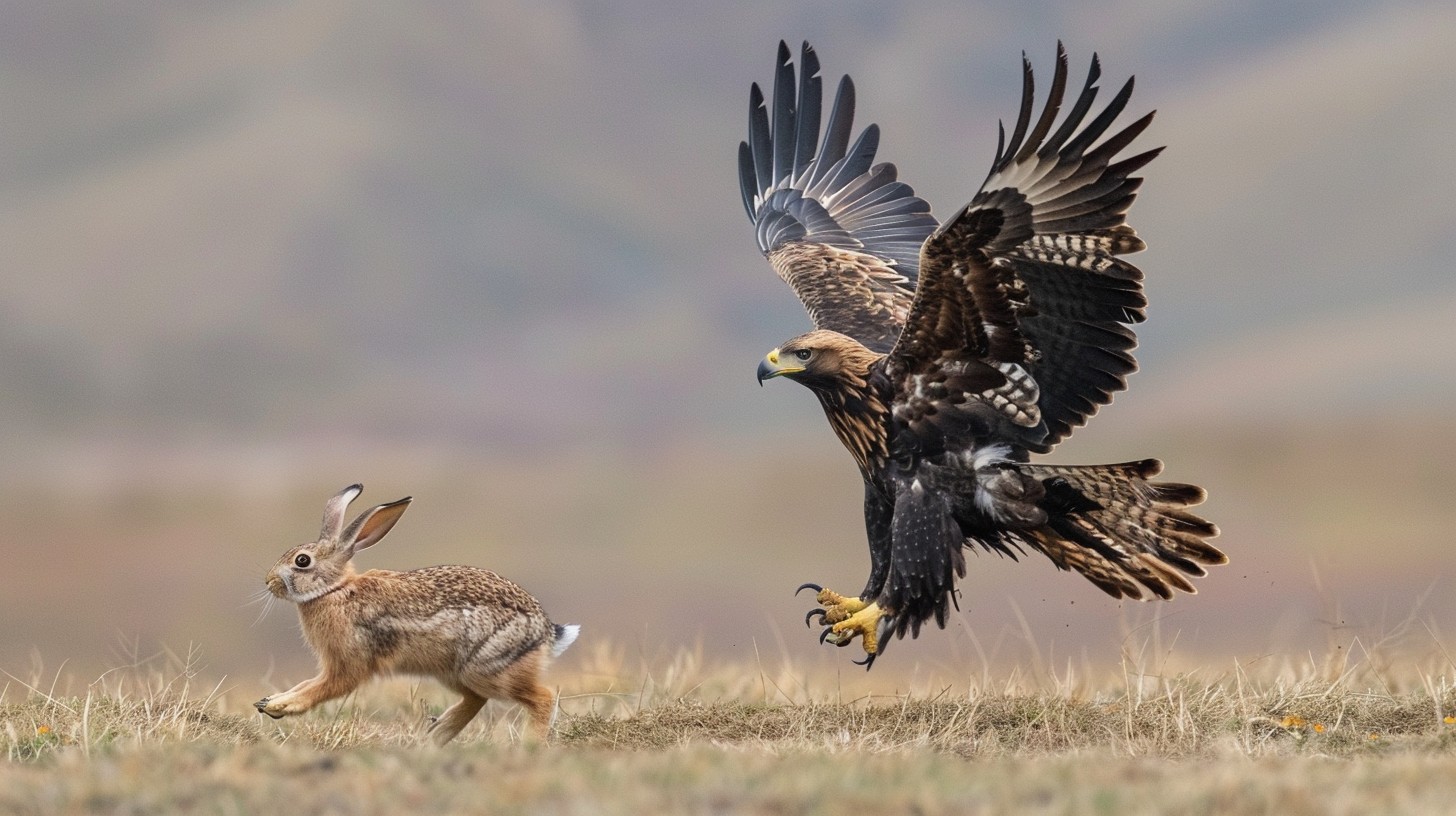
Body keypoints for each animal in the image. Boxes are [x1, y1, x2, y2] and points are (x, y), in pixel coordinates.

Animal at [254, 484, 580, 744]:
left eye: (302, 561)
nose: (268, 581)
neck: (335, 591)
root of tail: (546, 631)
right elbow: (306, 683)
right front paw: (270, 701)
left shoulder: (349, 662)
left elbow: (321, 688)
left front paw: (280, 707)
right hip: (453, 671)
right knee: (476, 698)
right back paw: (434, 736)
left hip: (488, 666)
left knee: (541, 697)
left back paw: (529, 744)